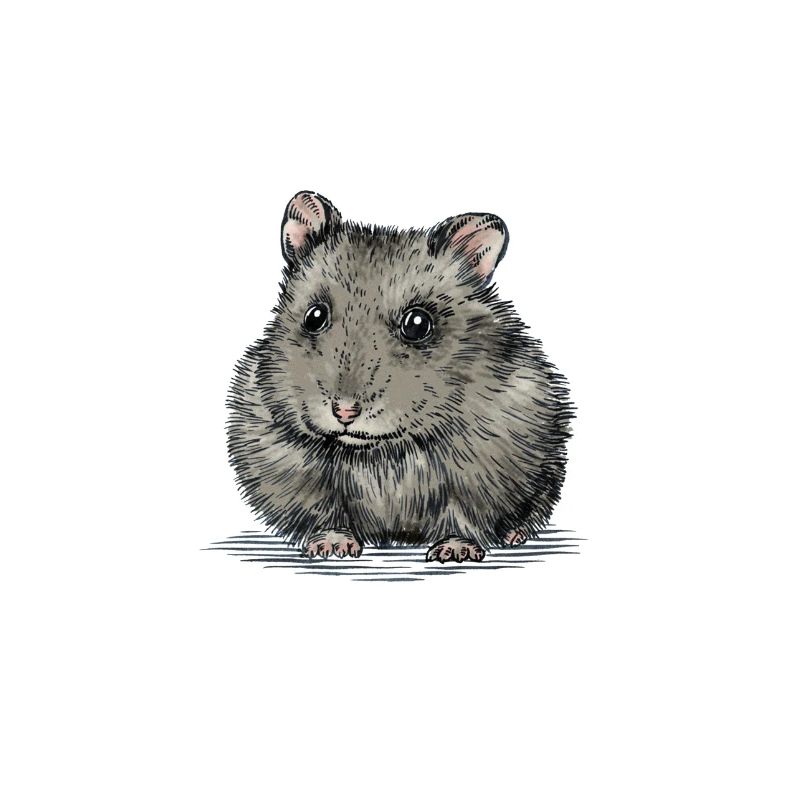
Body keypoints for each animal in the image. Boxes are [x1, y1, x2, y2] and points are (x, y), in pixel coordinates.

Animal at [227, 191, 573, 563]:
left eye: (418, 324)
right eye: (314, 316)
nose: (344, 412)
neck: (381, 450)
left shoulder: (483, 468)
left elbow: (461, 515)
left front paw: (455, 552)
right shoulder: (290, 465)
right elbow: (326, 510)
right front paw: (332, 547)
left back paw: (514, 535)